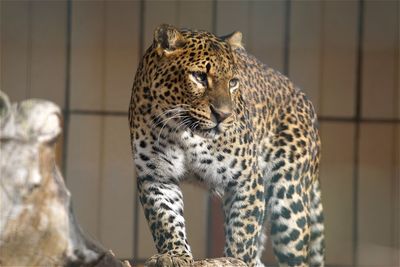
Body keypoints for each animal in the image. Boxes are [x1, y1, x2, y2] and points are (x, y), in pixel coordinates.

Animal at [130, 24, 324, 266]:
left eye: (233, 82)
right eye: (200, 77)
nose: (222, 115)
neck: (184, 133)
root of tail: (304, 98)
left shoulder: (247, 180)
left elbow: (243, 230)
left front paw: (236, 259)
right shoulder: (156, 177)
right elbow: (166, 220)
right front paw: (174, 255)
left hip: (289, 199)